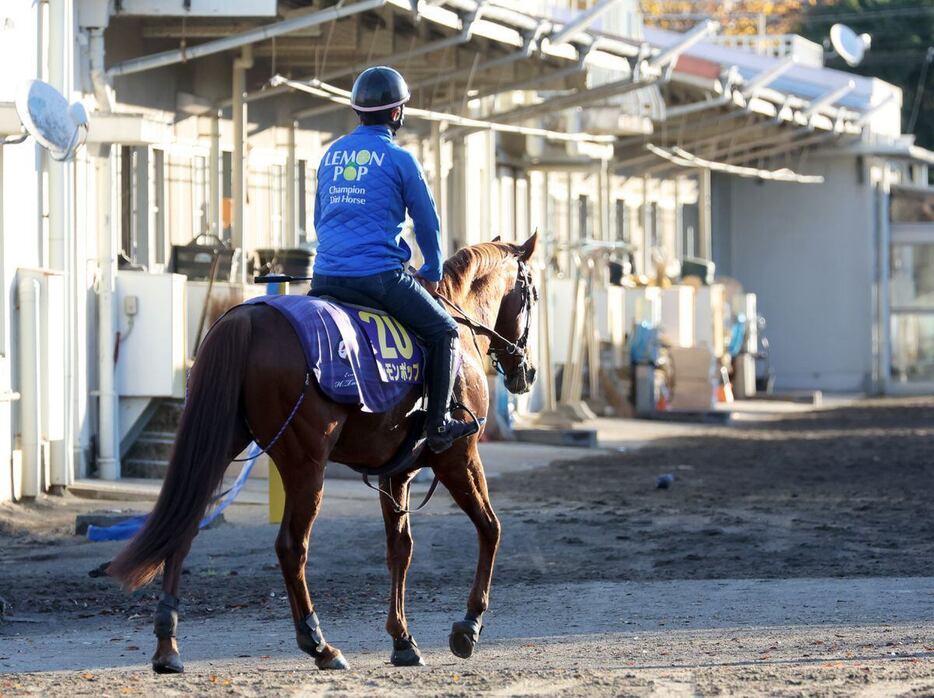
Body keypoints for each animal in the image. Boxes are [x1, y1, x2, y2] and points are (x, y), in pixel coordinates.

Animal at [108, 232, 540, 668]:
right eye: (532, 293)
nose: (528, 371)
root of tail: (247, 319)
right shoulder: (459, 458)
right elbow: (490, 528)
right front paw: (469, 624)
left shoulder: (397, 474)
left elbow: (400, 550)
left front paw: (403, 639)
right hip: (307, 466)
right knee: (290, 547)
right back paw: (318, 642)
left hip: (217, 448)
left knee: (182, 529)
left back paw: (168, 646)